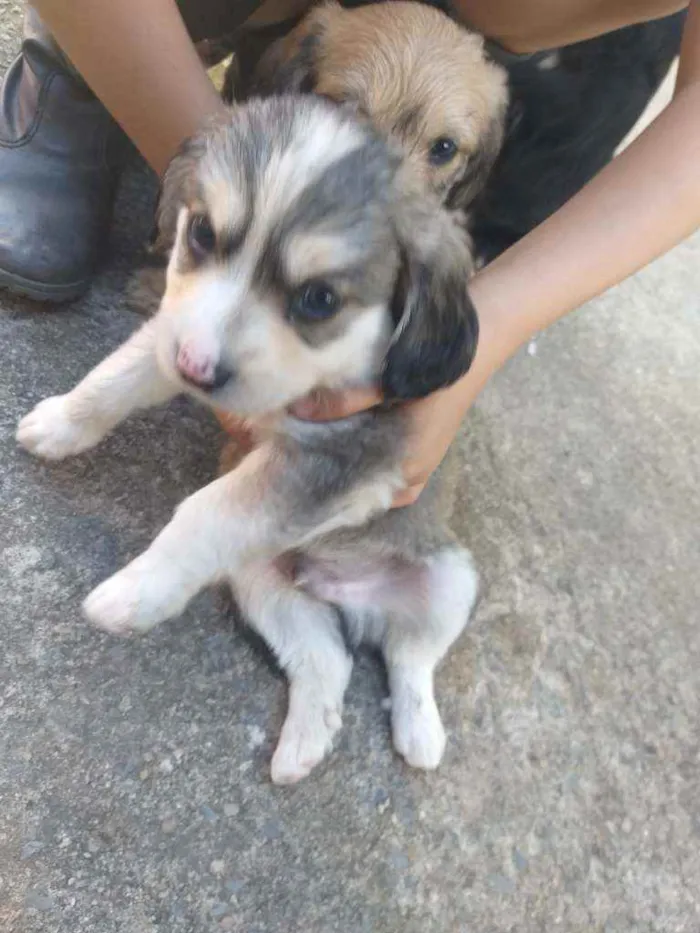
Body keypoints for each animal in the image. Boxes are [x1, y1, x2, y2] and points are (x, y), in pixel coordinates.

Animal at [20, 94, 482, 784]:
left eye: (319, 299)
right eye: (203, 235)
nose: (196, 370)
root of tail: (352, 597)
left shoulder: (336, 460)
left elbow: (208, 511)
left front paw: (134, 593)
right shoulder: (175, 328)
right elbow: (117, 374)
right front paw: (60, 423)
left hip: (453, 580)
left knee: (410, 659)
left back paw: (420, 733)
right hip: (261, 581)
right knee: (328, 660)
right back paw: (303, 746)